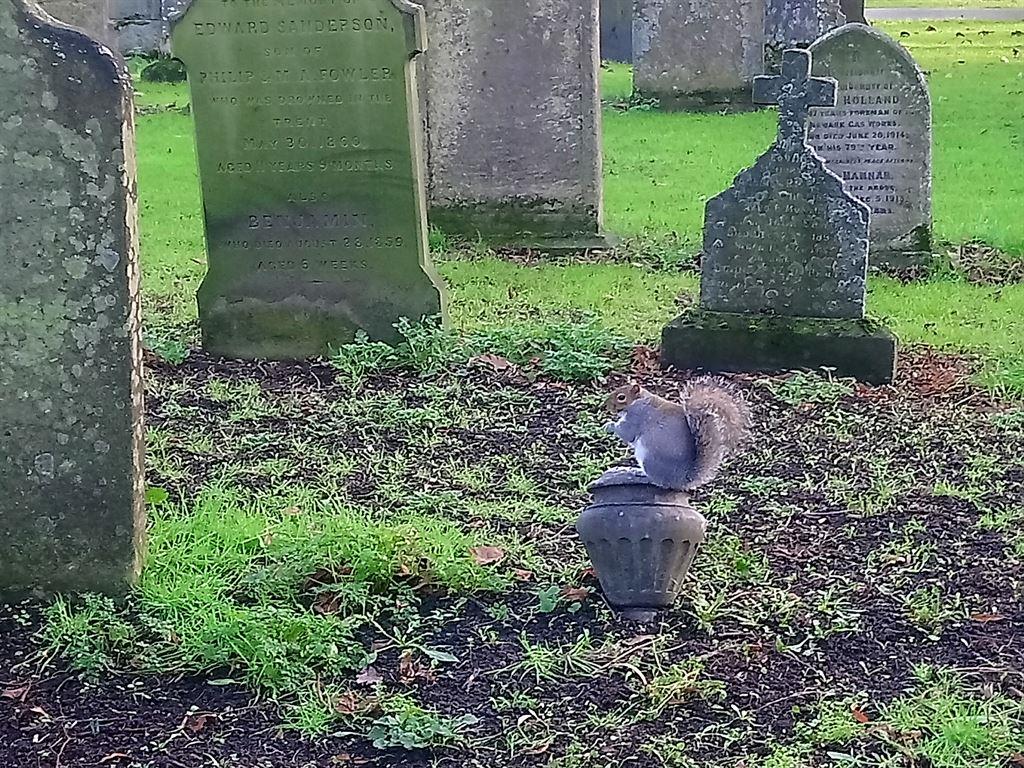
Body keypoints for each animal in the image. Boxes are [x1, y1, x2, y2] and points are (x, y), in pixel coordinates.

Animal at [603, 378, 751, 491]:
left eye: (621, 397)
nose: (606, 406)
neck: (638, 401)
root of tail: (682, 479)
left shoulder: (637, 417)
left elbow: (627, 433)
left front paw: (609, 425)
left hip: (649, 460)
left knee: (659, 482)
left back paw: (640, 474)